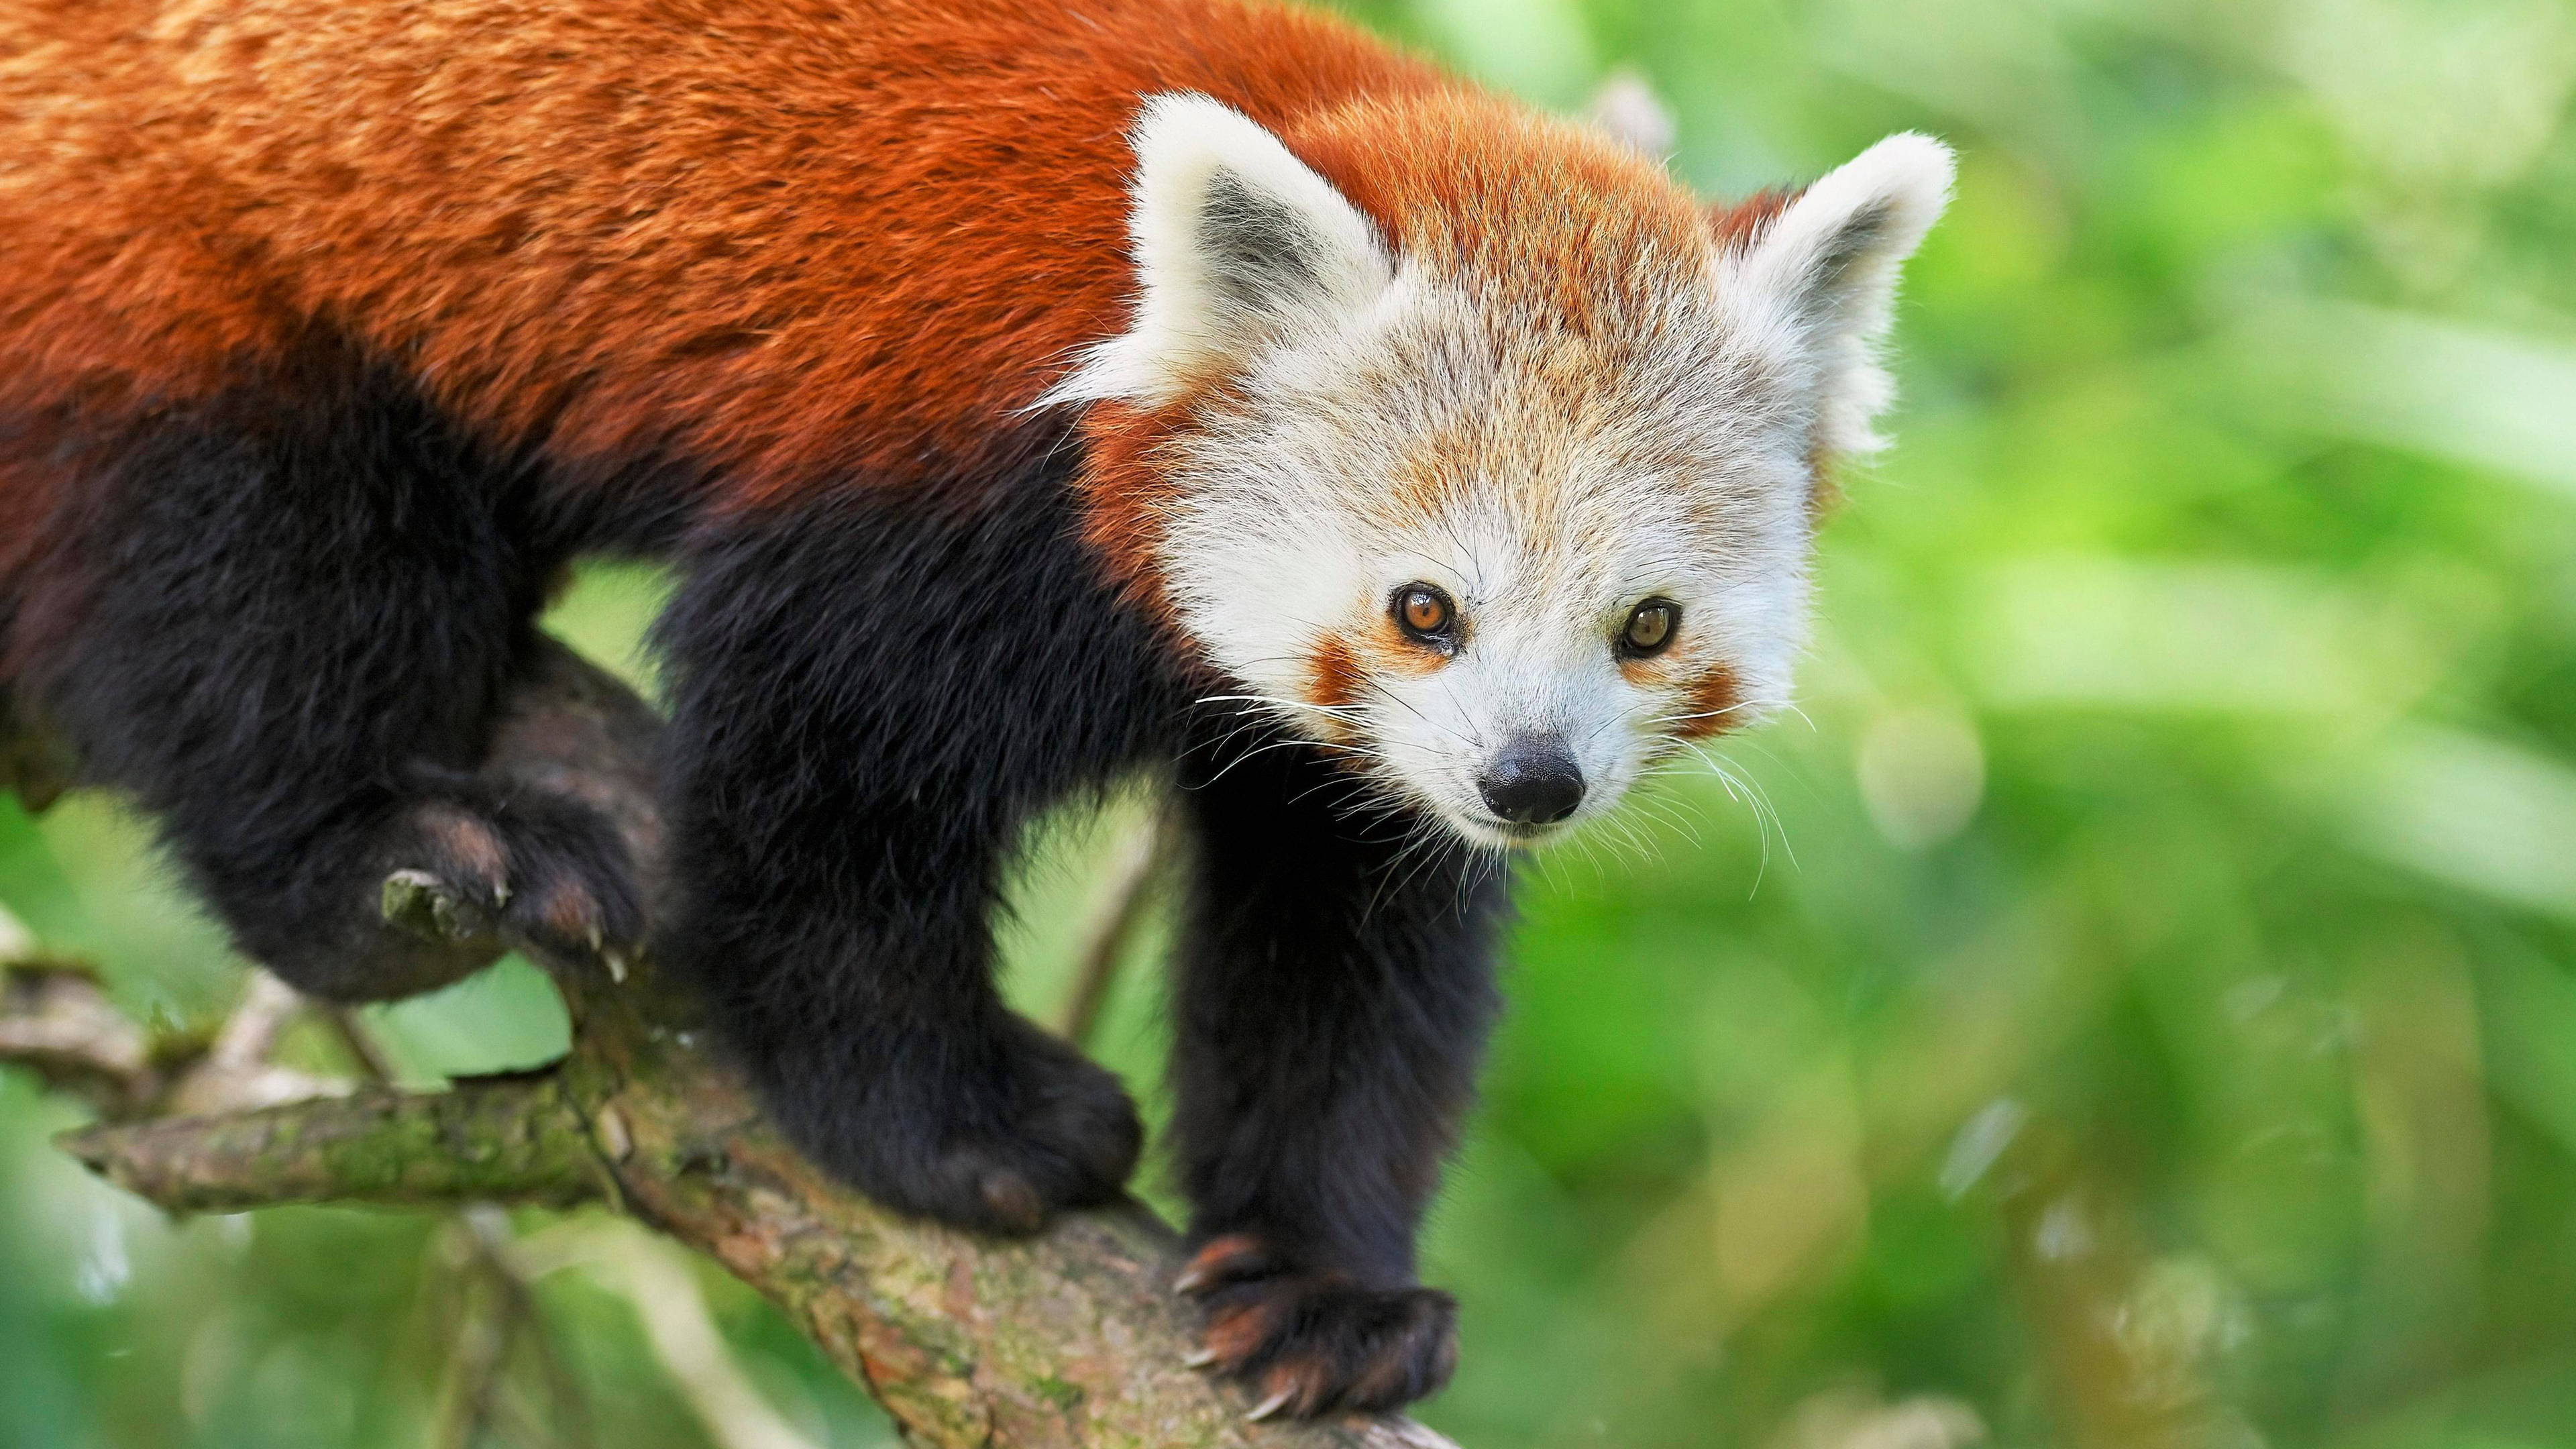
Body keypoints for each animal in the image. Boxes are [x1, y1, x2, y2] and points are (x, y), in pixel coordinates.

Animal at [0, 0, 1937, 1413]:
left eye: (1645, 625)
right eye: (1424, 609)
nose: (1530, 781)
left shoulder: (1341, 763)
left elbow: (1344, 956)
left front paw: (1324, 1288)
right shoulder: (925, 485)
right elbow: (817, 798)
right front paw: (950, 1130)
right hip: (169, 256)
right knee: (257, 570)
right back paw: (384, 858)